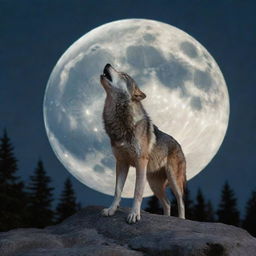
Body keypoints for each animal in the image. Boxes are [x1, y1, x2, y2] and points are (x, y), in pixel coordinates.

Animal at [100, 64, 186, 224]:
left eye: (124, 75)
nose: (107, 64)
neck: (121, 122)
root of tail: (179, 145)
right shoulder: (121, 162)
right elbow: (117, 191)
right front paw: (111, 210)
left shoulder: (140, 162)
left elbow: (137, 192)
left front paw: (134, 214)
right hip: (154, 183)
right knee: (167, 203)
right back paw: (166, 218)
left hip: (173, 180)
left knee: (180, 201)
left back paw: (182, 220)